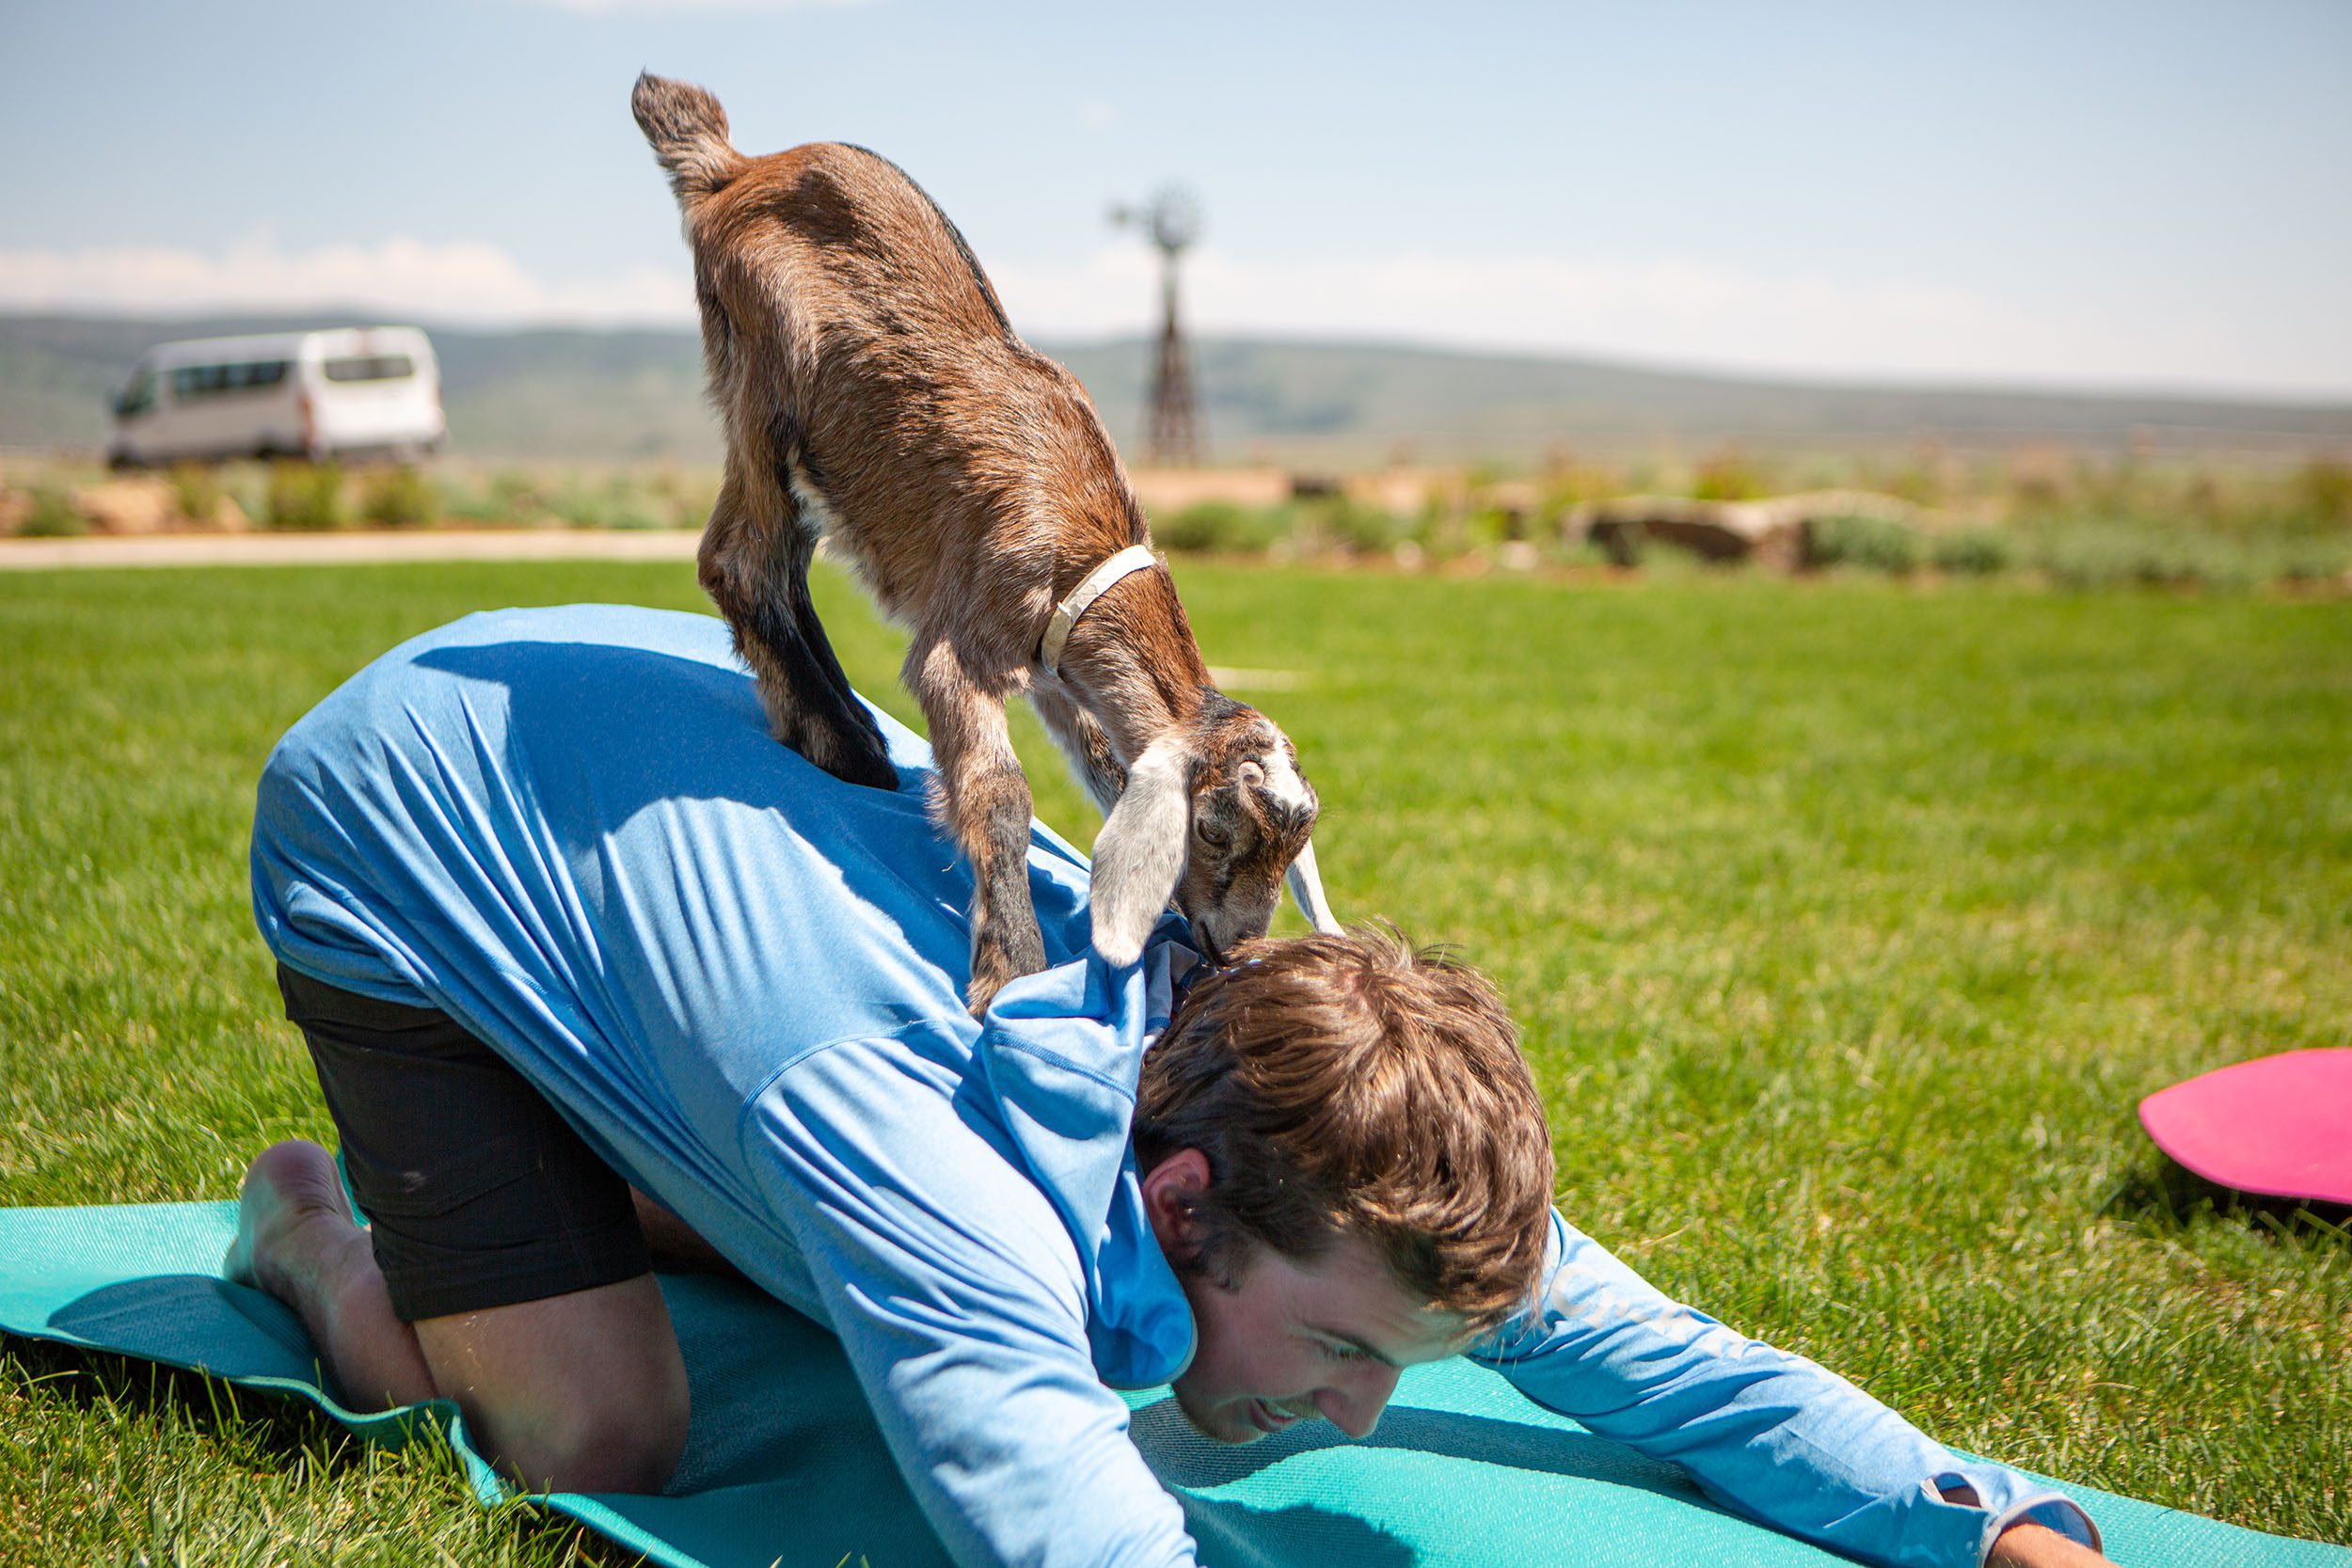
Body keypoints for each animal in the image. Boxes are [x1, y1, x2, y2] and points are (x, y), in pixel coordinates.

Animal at [631, 73, 1338, 1014]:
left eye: (1290, 846)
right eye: (1214, 829)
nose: (1238, 947)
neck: (1081, 541)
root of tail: (733, 167)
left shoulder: (1062, 670)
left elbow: (1106, 764)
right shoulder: (963, 643)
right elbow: (1000, 790)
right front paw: (1013, 965)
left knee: (778, 568)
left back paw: (840, 721)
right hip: (765, 379)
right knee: (740, 559)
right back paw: (844, 744)